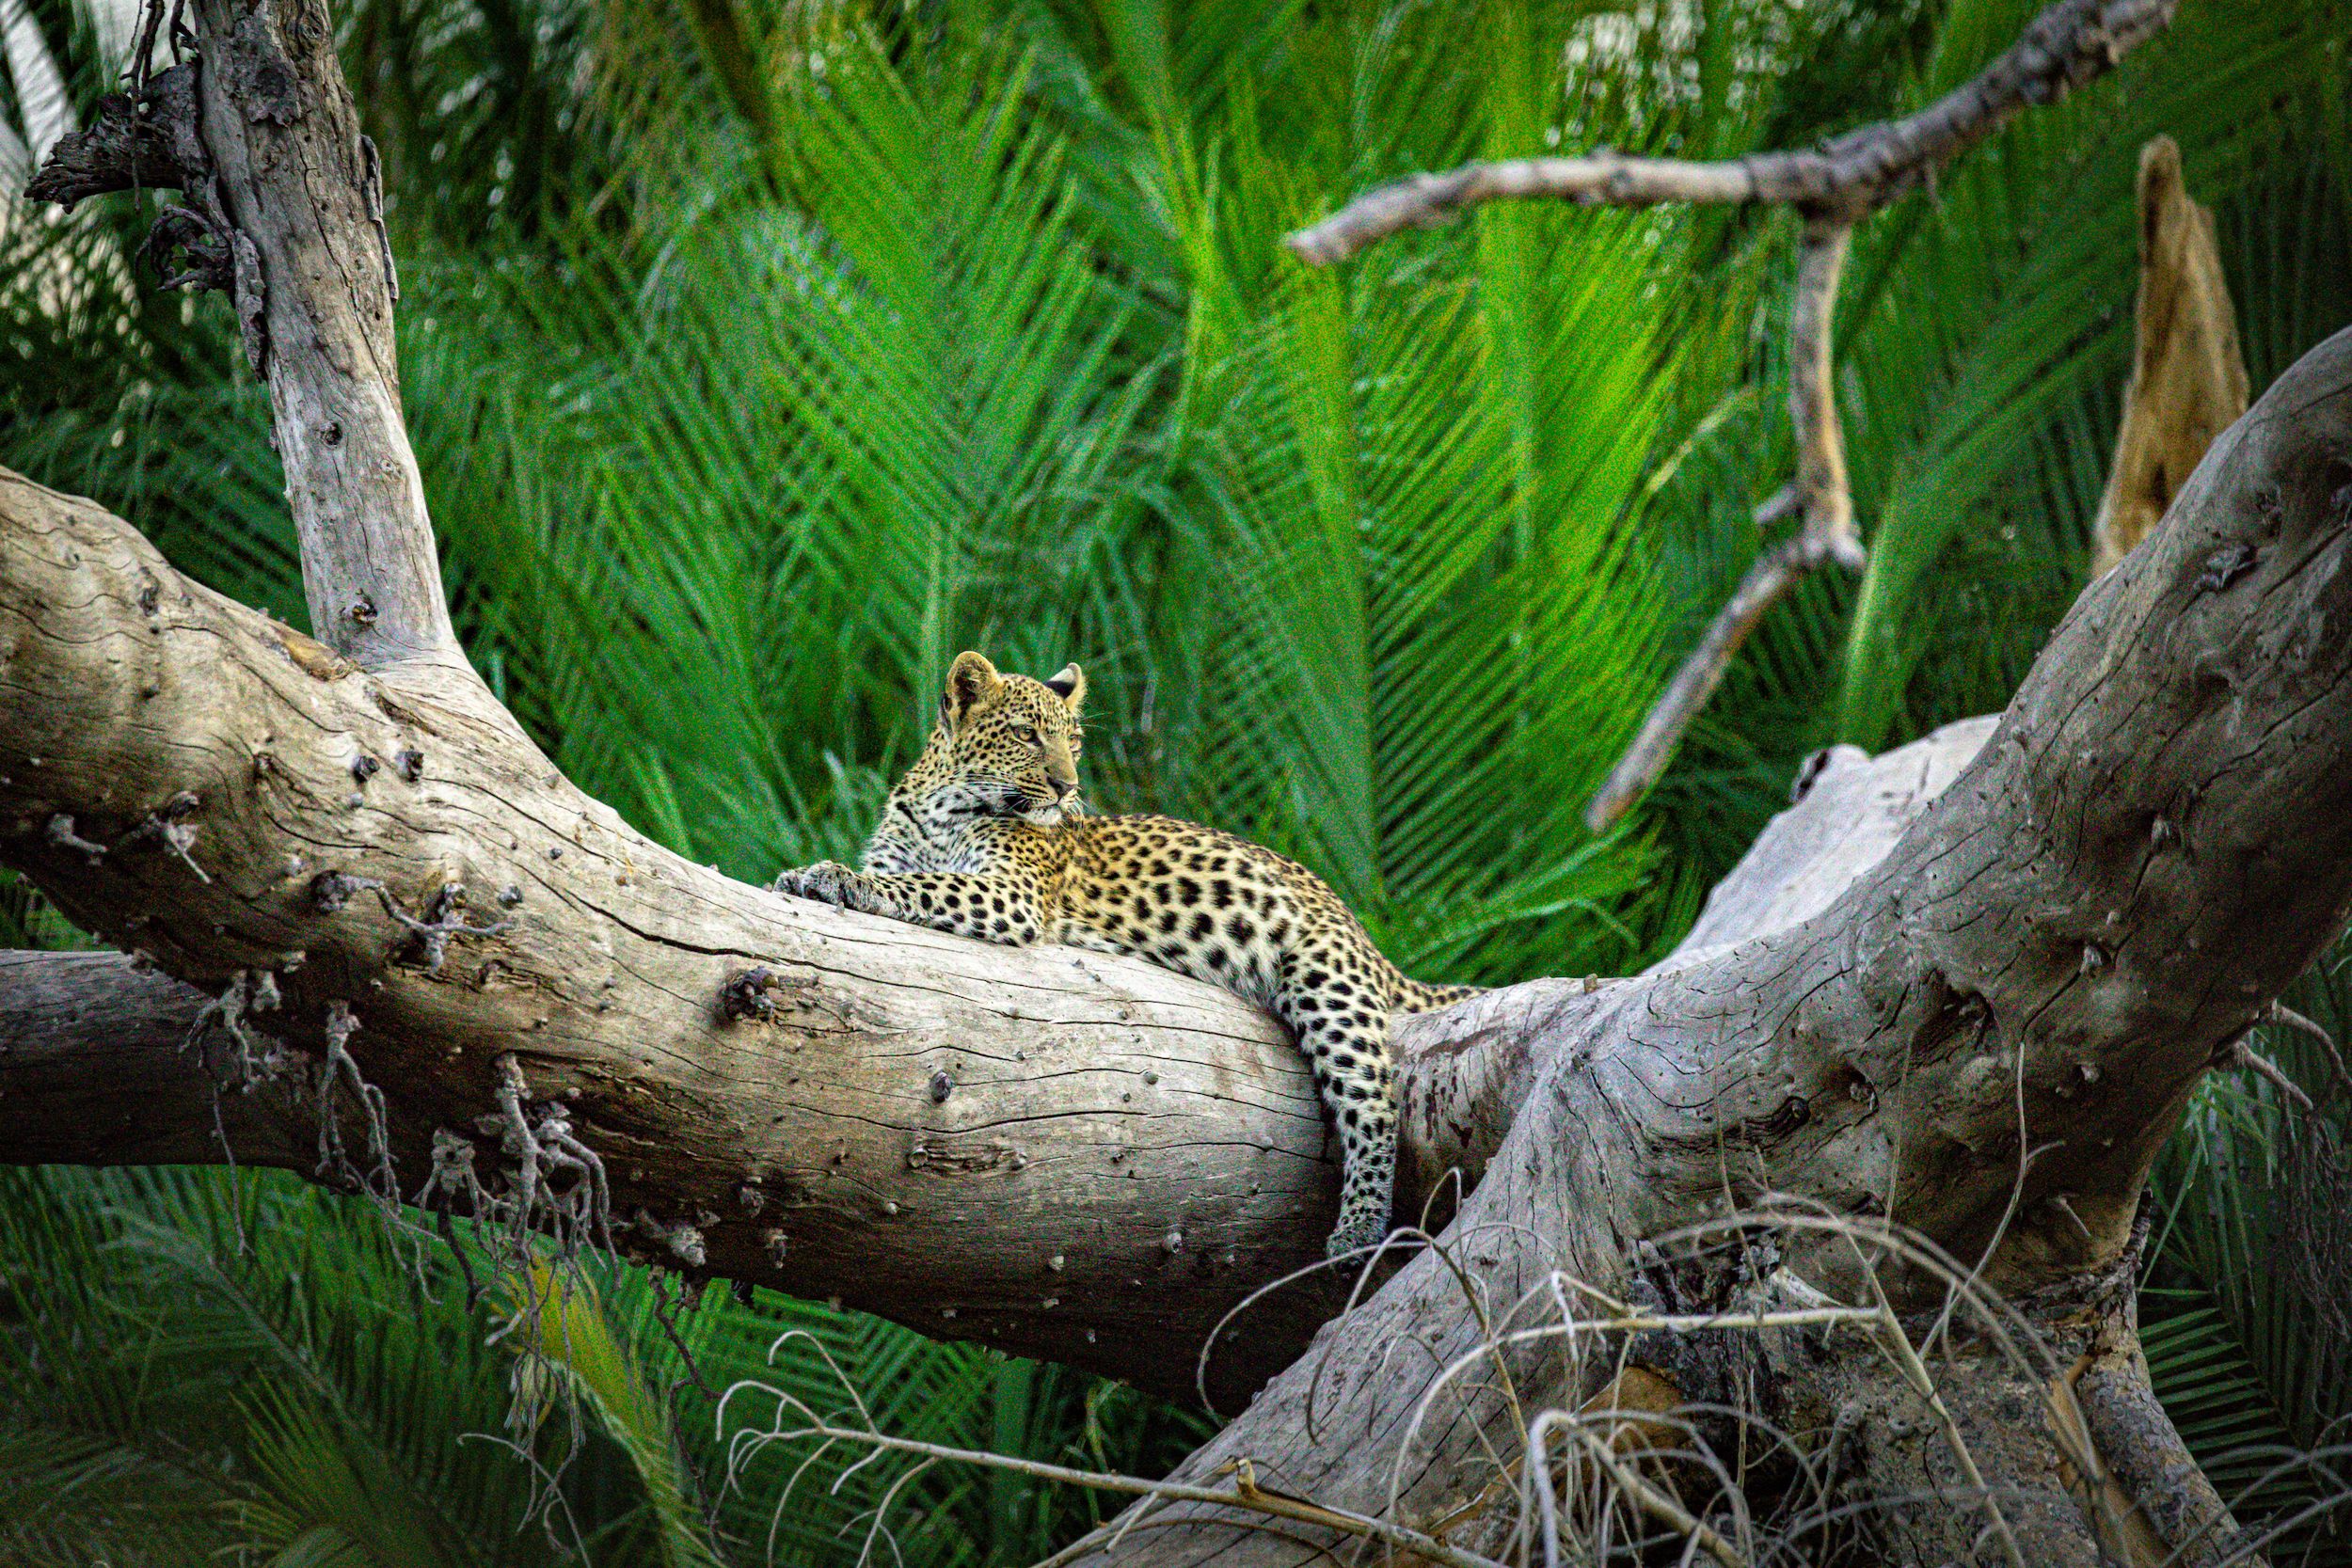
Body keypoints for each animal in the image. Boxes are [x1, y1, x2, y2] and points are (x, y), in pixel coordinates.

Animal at [771, 650, 1480, 1258]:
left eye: (1073, 742)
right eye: (1027, 735)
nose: (1067, 787)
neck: (940, 805)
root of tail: (1360, 930)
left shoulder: (1009, 894)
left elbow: (917, 885)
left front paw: (833, 877)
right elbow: (906, 875)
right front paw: (813, 875)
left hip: (1328, 980)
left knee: (1375, 1102)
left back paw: (1358, 1228)